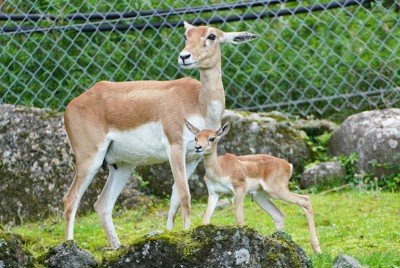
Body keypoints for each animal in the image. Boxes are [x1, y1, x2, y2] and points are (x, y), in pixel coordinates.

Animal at [62, 21, 256, 249]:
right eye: (186, 35)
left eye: (211, 36)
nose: (185, 56)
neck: (198, 102)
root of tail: (72, 105)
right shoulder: (175, 148)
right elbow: (185, 196)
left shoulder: (194, 157)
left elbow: (175, 198)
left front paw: (171, 235)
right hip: (90, 159)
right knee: (70, 199)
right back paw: (69, 246)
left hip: (122, 166)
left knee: (102, 204)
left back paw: (117, 247)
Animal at [185, 120, 322, 253]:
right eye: (196, 137)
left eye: (212, 138)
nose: (198, 147)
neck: (219, 169)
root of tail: (287, 164)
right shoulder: (214, 193)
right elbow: (205, 219)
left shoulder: (239, 188)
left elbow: (239, 218)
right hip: (259, 196)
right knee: (279, 215)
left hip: (277, 190)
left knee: (305, 200)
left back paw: (317, 249)